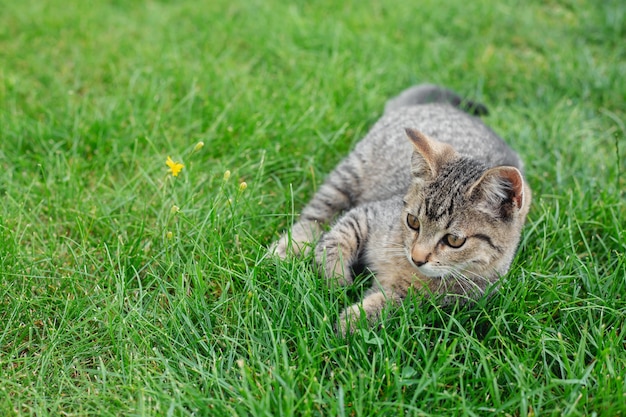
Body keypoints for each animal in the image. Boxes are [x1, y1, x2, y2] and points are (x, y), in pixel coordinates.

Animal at [270, 84, 528, 334]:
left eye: (454, 240)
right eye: (413, 221)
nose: (417, 257)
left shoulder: (426, 303)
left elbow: (386, 305)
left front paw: (349, 322)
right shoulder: (368, 213)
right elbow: (336, 238)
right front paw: (336, 278)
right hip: (350, 173)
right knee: (316, 214)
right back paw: (289, 247)